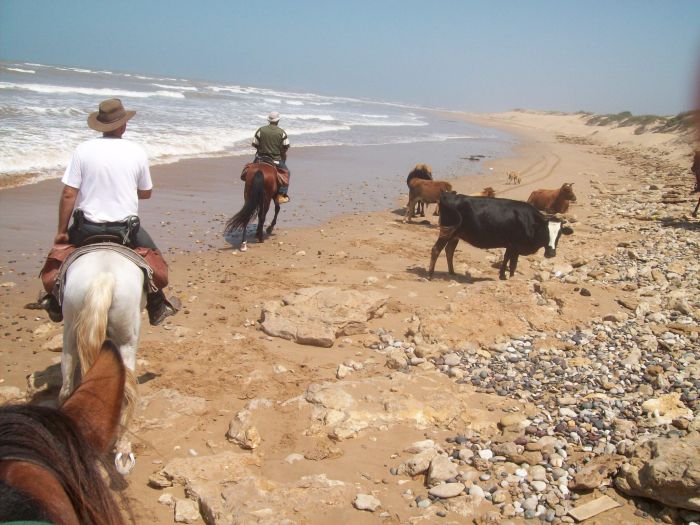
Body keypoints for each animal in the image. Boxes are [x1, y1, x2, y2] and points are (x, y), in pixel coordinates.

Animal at [426, 192, 576, 280]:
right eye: (546, 231)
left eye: (559, 234)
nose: (551, 253)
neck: (529, 222)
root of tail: (447, 196)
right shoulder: (513, 245)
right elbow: (509, 261)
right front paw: (504, 276)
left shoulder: (514, 247)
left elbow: (511, 263)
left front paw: (508, 276)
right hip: (447, 231)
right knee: (436, 249)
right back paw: (430, 275)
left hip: (456, 234)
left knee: (449, 250)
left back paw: (452, 272)